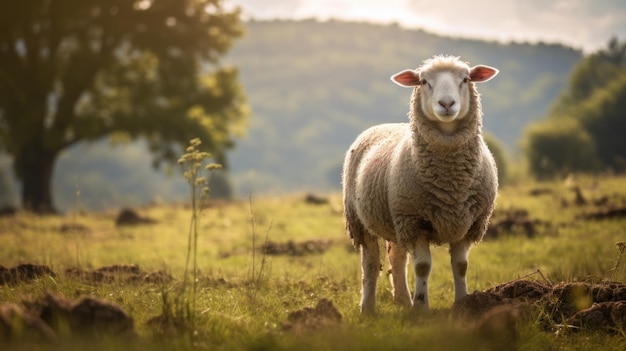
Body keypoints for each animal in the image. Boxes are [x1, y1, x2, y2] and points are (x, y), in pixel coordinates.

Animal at [342, 54, 498, 314]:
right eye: (424, 81)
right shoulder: (415, 222)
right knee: (371, 264)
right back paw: (368, 308)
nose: (447, 104)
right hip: (361, 220)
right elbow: (423, 266)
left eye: (465, 79)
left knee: (397, 258)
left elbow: (461, 266)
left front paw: (463, 303)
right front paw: (421, 308)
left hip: (395, 221)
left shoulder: (470, 222)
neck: (450, 183)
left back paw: (403, 300)